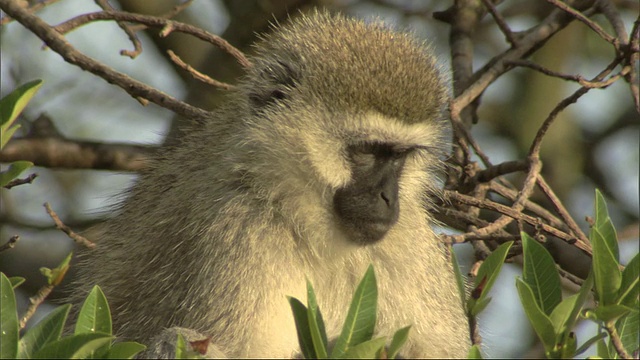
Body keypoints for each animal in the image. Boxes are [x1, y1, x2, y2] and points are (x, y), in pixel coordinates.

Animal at [71, 9, 470, 358]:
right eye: (368, 152)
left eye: (399, 156)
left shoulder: (408, 241)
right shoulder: (235, 227)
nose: (388, 197)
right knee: (180, 340)